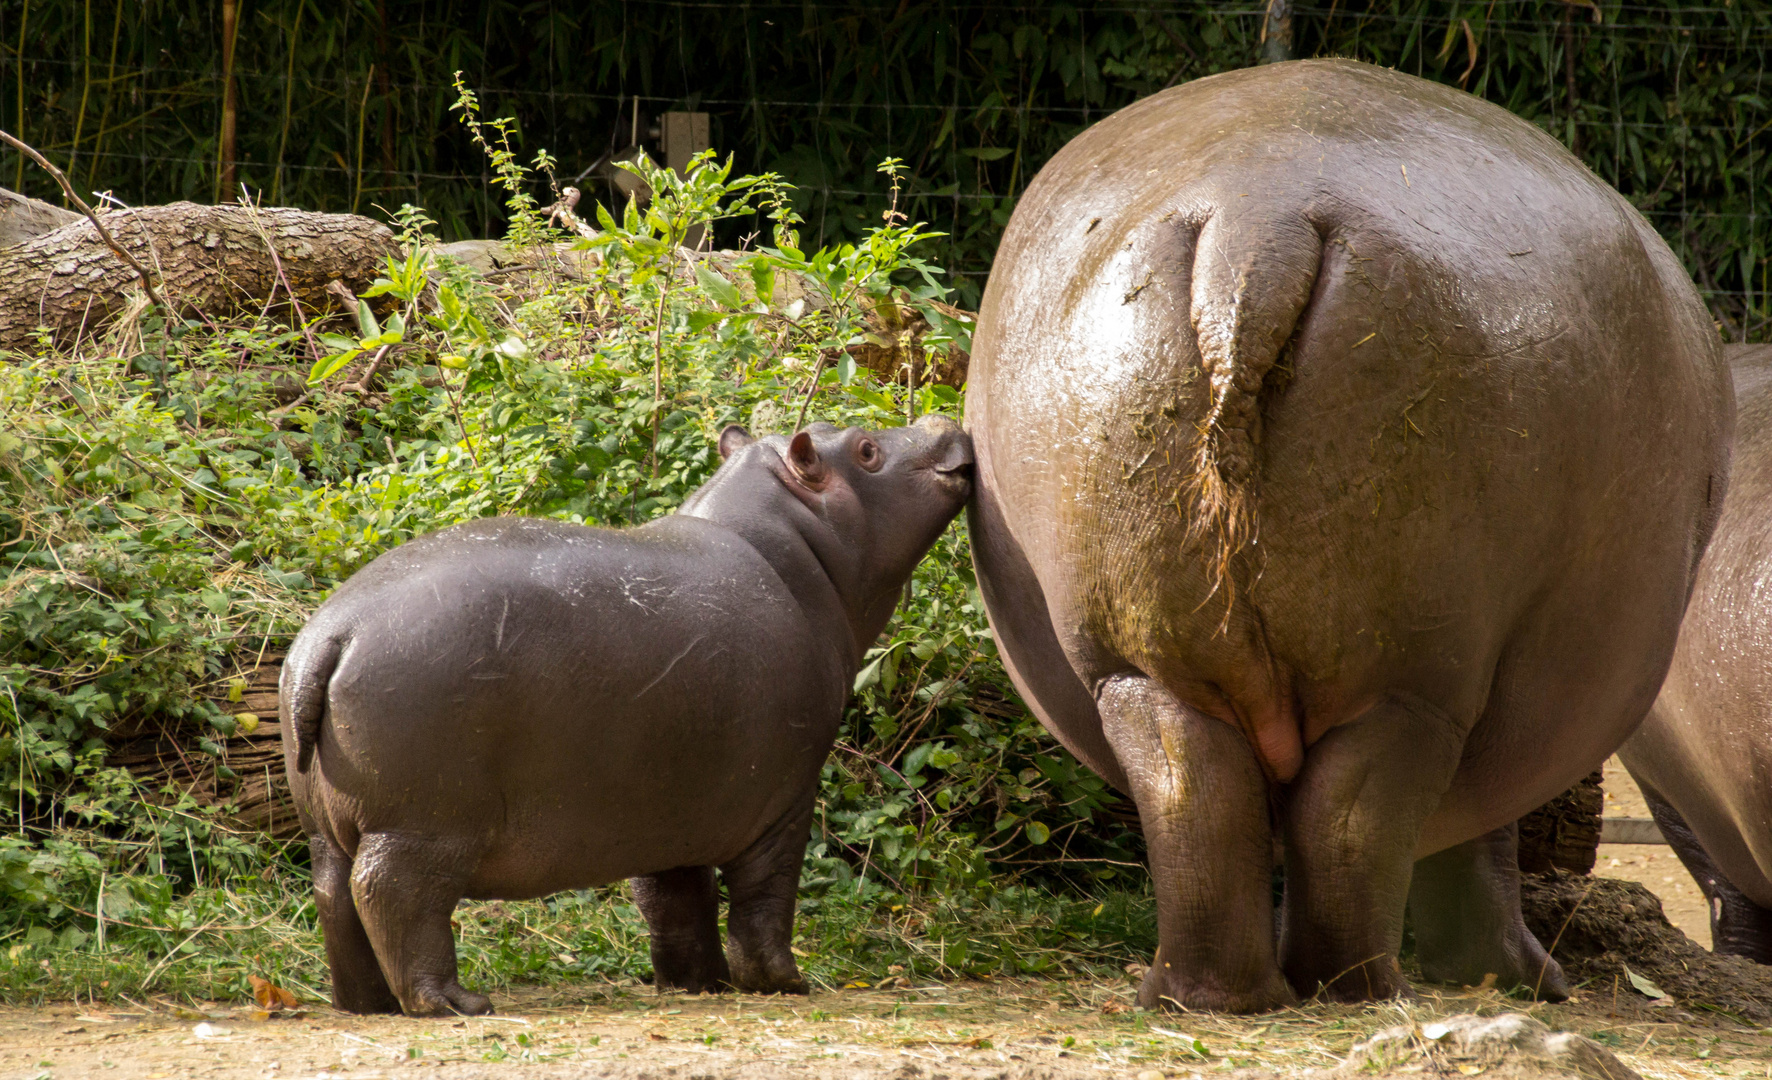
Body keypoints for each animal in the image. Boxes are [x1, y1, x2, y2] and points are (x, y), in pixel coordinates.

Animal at [279, 416, 971, 1014]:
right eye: (865, 449)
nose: (941, 421)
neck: (795, 540)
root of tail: (334, 632)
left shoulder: (670, 806)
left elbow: (676, 902)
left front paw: (702, 984)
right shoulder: (786, 797)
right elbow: (765, 895)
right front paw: (782, 982)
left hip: (329, 826)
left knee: (334, 895)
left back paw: (365, 1004)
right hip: (424, 827)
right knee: (392, 895)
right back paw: (455, 1004)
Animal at [971, 58, 1729, 1007]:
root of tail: (1256, 223)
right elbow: (1475, 853)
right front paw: (1528, 980)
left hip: (1146, 663)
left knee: (1196, 799)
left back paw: (1204, 996)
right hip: (1414, 675)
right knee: (1355, 821)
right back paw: (1367, 989)